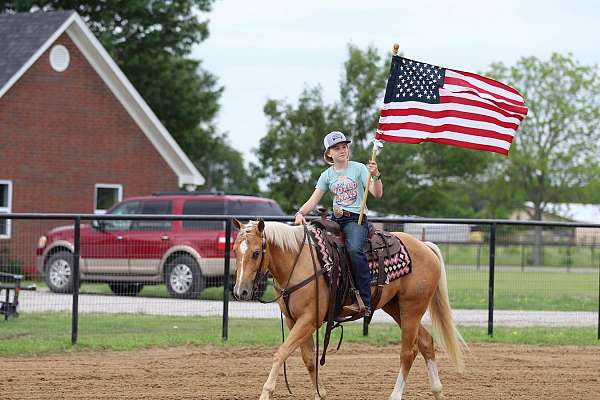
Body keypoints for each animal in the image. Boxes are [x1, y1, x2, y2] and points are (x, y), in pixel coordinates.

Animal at [232, 220, 466, 398]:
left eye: (255, 253)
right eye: (235, 251)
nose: (240, 291)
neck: (298, 263)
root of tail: (425, 247)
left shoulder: (309, 319)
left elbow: (281, 353)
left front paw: (266, 392)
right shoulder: (293, 320)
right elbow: (309, 360)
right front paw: (321, 394)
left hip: (412, 308)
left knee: (408, 352)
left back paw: (396, 395)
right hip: (396, 308)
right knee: (426, 343)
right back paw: (437, 391)